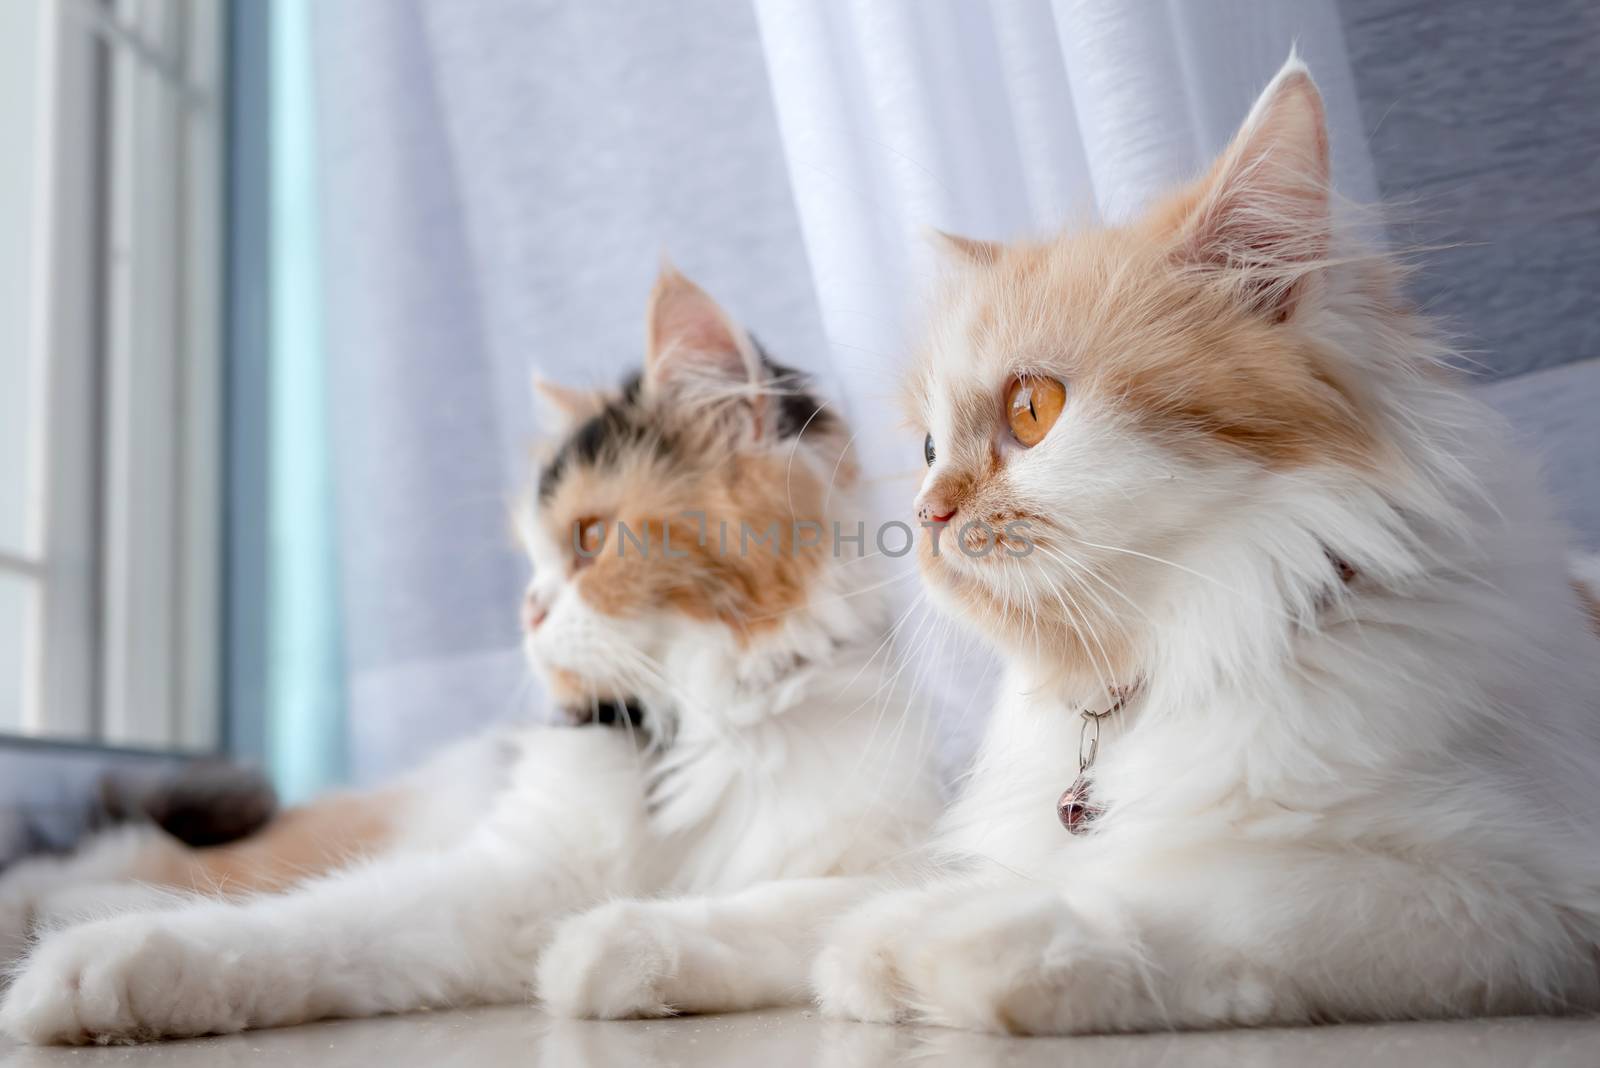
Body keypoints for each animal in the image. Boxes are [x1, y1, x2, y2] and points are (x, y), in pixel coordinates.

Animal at [0, 265, 934, 1042]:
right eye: (533, 559)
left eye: (589, 539)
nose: (528, 609)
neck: (693, 728)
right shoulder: (512, 872)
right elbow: (306, 923)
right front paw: (102, 973)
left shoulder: (880, 855)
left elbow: (787, 910)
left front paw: (618, 945)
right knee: (159, 861)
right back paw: (65, 913)